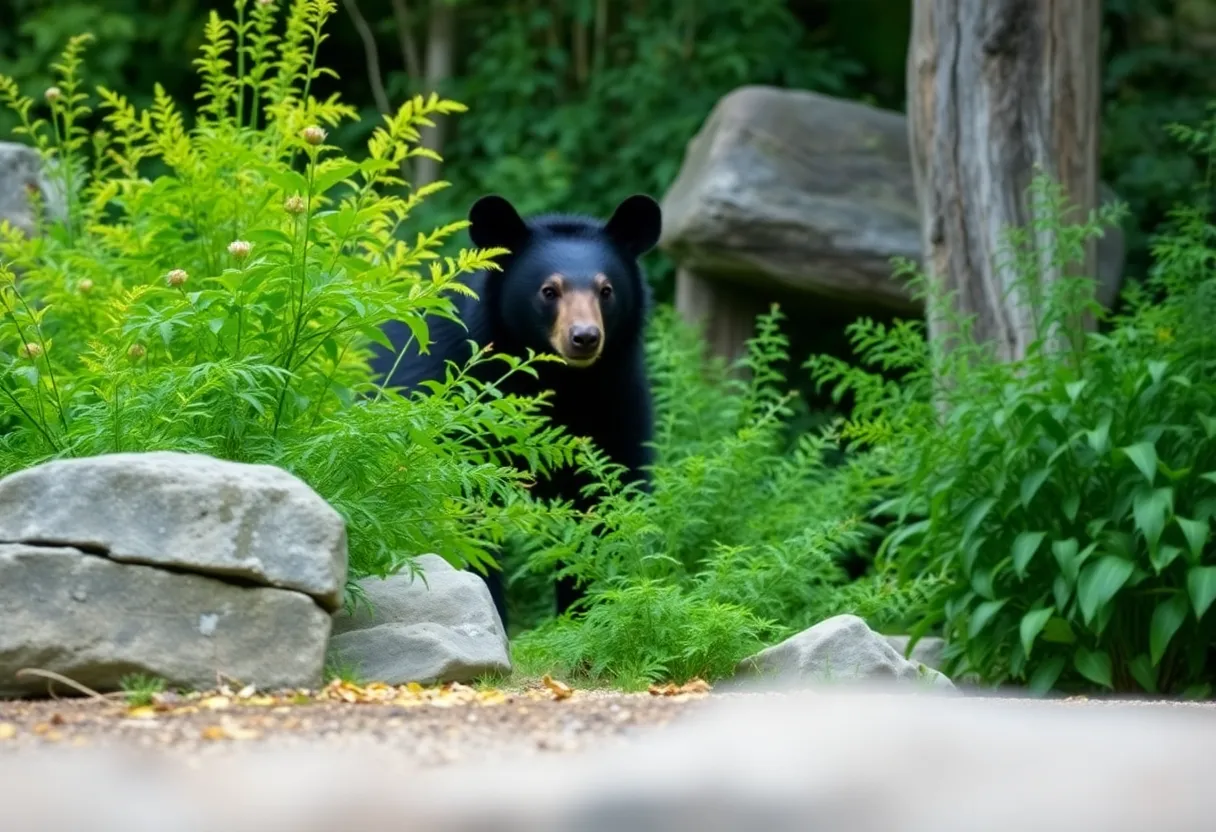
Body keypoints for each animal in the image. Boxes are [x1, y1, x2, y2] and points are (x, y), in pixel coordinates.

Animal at [370, 193, 663, 631]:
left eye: (606, 290)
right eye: (549, 290)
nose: (584, 337)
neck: (562, 382)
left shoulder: (616, 399)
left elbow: (604, 500)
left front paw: (585, 617)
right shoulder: (453, 399)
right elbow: (465, 514)